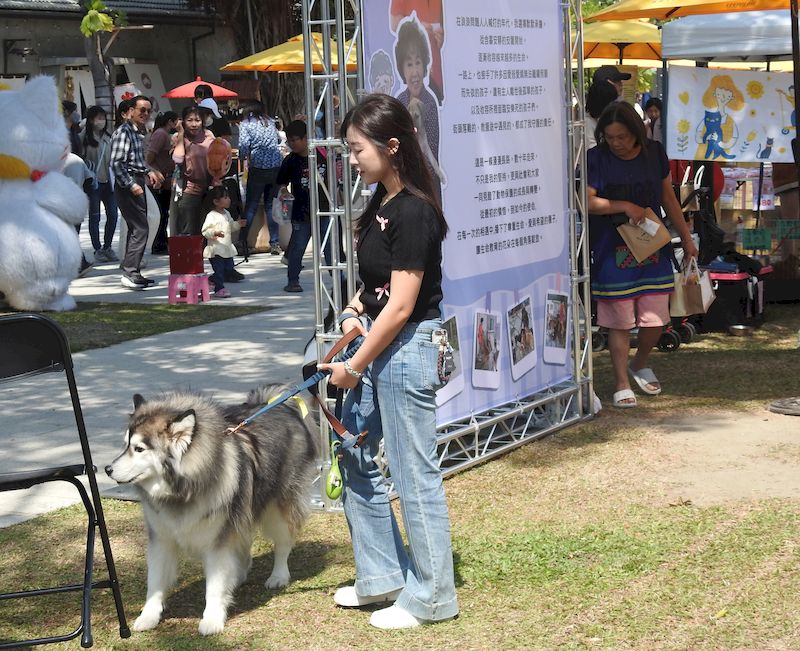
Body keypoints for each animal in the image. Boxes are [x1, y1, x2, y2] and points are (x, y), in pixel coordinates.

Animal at [105, 384, 319, 635]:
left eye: (139, 449)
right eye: (125, 444)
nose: (107, 469)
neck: (181, 492)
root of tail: (278, 403)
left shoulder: (218, 540)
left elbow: (215, 586)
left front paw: (212, 619)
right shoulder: (162, 538)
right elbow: (155, 581)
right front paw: (148, 616)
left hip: (278, 509)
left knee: (283, 543)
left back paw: (279, 575)